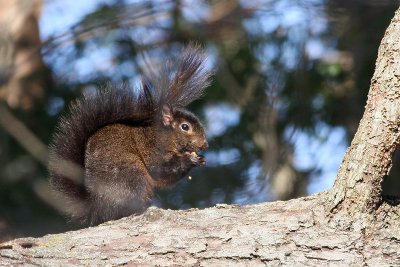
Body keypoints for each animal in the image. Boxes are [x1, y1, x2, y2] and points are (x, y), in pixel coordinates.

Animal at [48, 46, 211, 226]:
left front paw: (200, 159)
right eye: (185, 127)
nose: (205, 145)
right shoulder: (153, 148)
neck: (167, 137)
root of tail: (94, 208)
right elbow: (160, 170)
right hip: (131, 176)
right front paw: (190, 159)